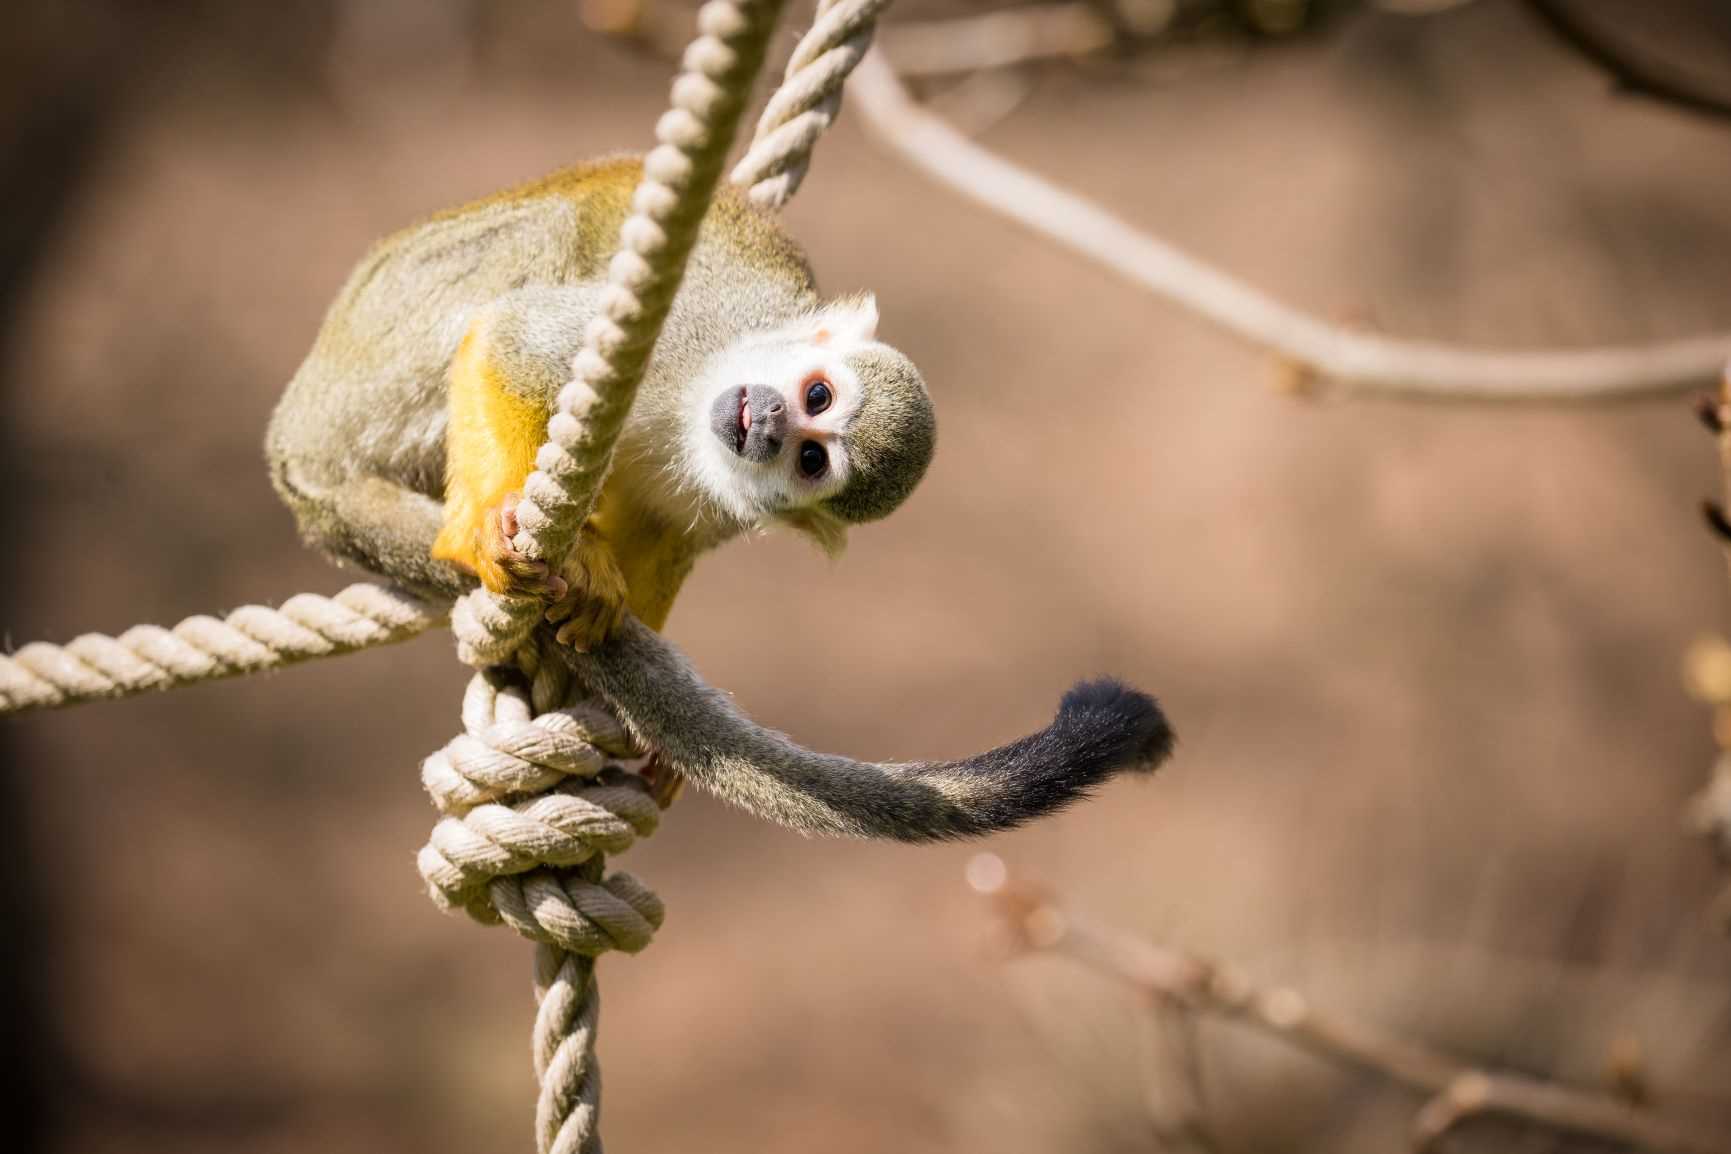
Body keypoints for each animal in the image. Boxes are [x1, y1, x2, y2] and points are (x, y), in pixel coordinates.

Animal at [263, 155, 1170, 840]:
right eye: (814, 397)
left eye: (811, 459)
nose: (763, 420)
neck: (694, 395)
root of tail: (296, 452)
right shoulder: (683, 332)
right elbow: (512, 337)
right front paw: (487, 528)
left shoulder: (730, 501)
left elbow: (665, 536)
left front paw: (611, 651)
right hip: (371, 356)